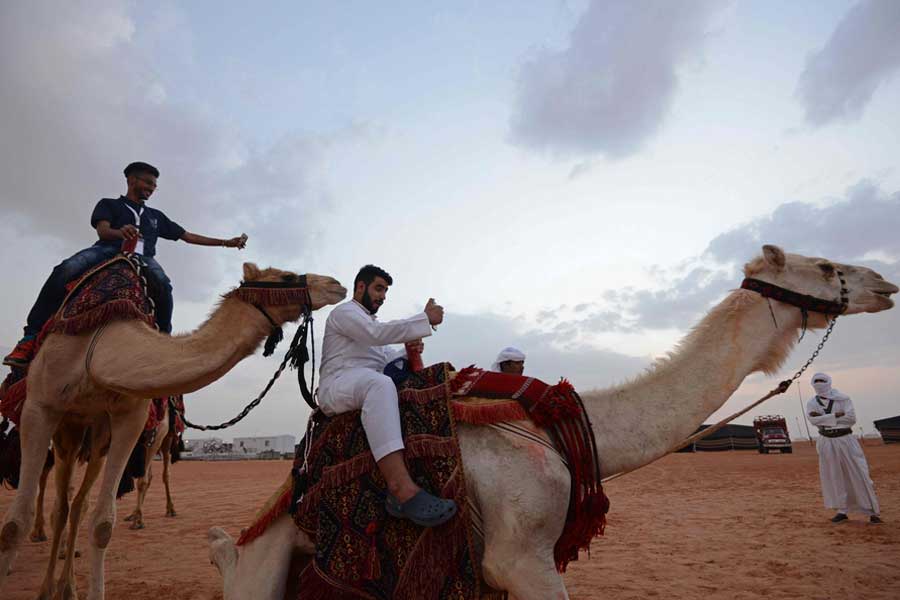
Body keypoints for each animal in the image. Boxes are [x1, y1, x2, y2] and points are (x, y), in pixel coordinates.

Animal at [0, 264, 346, 600]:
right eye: (286, 277)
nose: (336, 284)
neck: (98, 348)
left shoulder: (128, 417)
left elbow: (102, 524)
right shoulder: (39, 407)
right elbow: (14, 524)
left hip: (92, 433)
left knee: (75, 505)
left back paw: (66, 586)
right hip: (64, 428)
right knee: (59, 502)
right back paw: (48, 577)